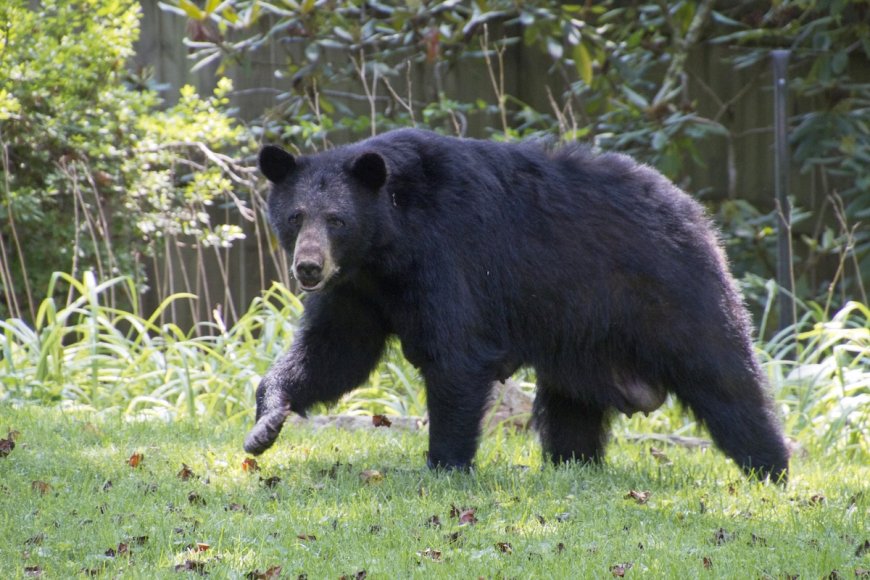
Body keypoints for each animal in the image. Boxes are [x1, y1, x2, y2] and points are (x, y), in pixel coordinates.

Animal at [244, 128, 790, 482]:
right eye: (295, 216)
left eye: (336, 219)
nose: (308, 268)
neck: (388, 246)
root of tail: (696, 213)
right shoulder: (357, 291)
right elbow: (334, 353)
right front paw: (265, 425)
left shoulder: (451, 255)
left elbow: (457, 354)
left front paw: (444, 464)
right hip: (583, 343)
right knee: (571, 411)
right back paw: (573, 464)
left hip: (672, 293)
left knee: (724, 377)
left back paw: (771, 467)